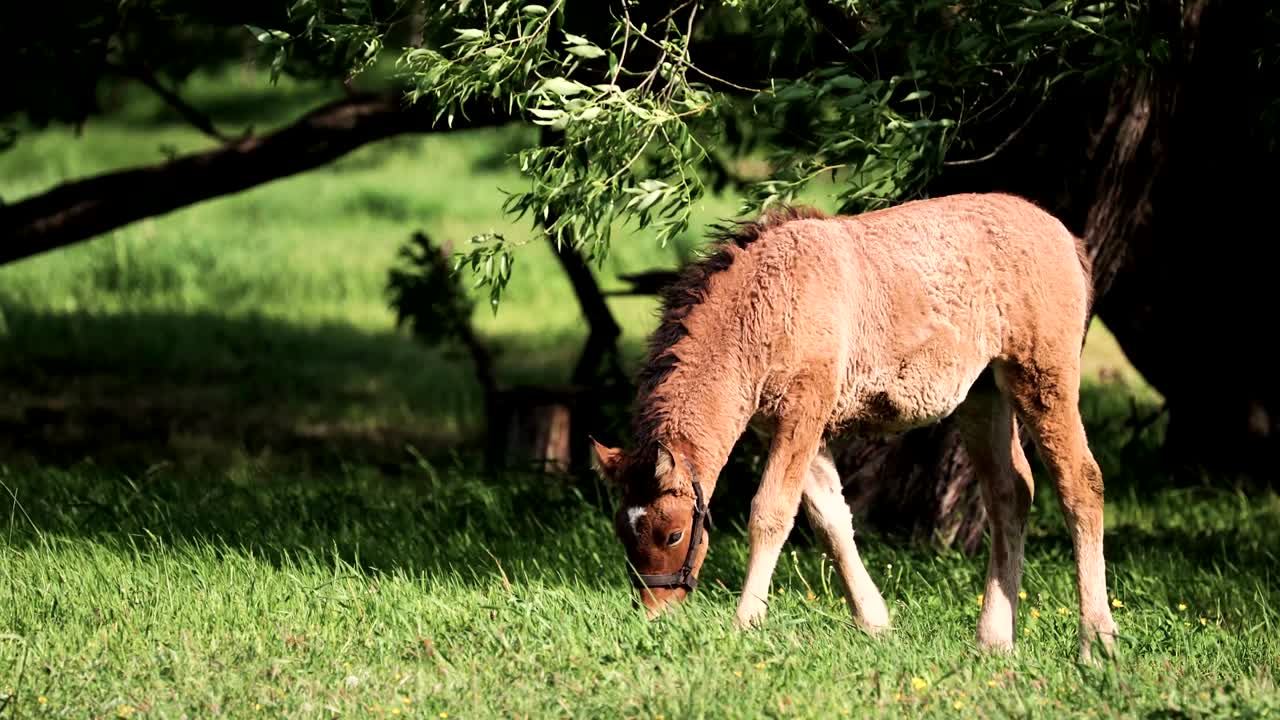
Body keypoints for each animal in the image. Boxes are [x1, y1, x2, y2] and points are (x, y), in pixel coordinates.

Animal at [588, 191, 1119, 661]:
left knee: (1081, 484)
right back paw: (993, 640)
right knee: (1010, 494)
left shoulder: (804, 409)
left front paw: (746, 622)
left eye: (673, 534)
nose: (655, 613)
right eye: (622, 532)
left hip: (1043, 377)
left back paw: (1096, 641)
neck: (768, 303)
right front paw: (875, 622)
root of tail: (1066, 236)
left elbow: (771, 513)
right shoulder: (788, 428)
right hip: (983, 394)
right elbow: (830, 519)